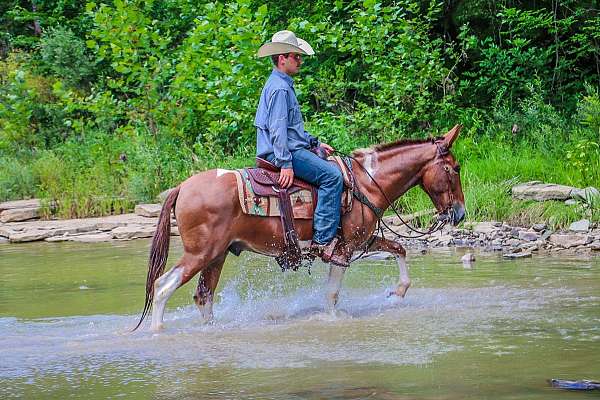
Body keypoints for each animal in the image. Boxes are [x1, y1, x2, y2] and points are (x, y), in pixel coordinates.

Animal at [137, 125, 468, 332]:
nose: (460, 214)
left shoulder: (362, 241)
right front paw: (333, 321)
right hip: (200, 253)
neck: (366, 183)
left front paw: (397, 292)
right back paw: (158, 331)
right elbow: (332, 295)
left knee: (203, 296)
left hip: (216, 256)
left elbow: (398, 248)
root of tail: (182, 187)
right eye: (454, 168)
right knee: (162, 286)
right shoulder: (343, 250)